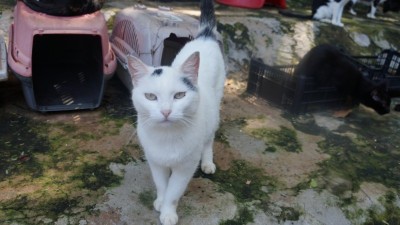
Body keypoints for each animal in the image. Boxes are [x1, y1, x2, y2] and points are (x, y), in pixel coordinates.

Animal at [126, 0, 225, 223]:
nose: (165, 111)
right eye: (151, 97)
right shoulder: (155, 162)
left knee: (209, 139)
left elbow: (174, 190)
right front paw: (160, 202)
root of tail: (204, 36)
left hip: (214, 110)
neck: (167, 137)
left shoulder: (186, 166)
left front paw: (168, 213)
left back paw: (208, 162)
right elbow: (162, 185)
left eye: (179, 95)